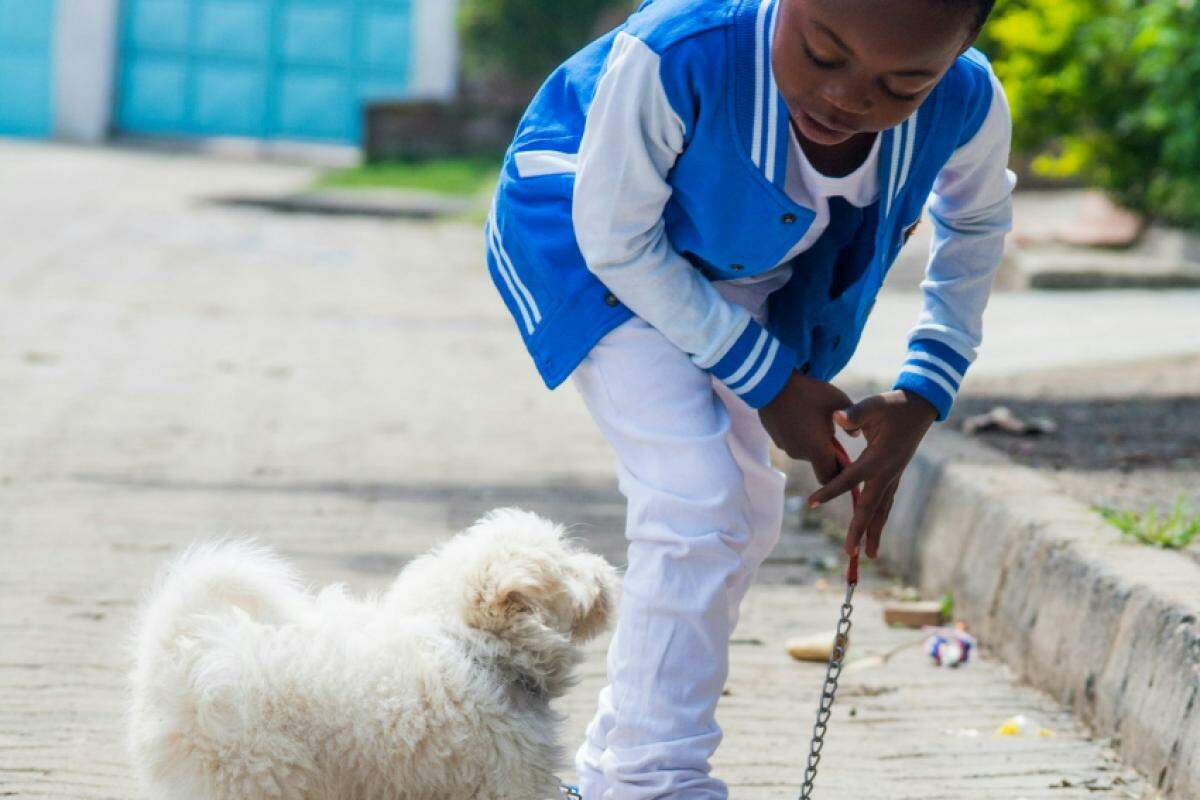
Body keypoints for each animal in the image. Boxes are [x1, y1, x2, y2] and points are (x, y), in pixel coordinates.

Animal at [129, 510, 619, 800]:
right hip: (255, 777)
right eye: (567, 564)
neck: (473, 650)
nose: (607, 570)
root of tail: (175, 657)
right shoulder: (507, 783)